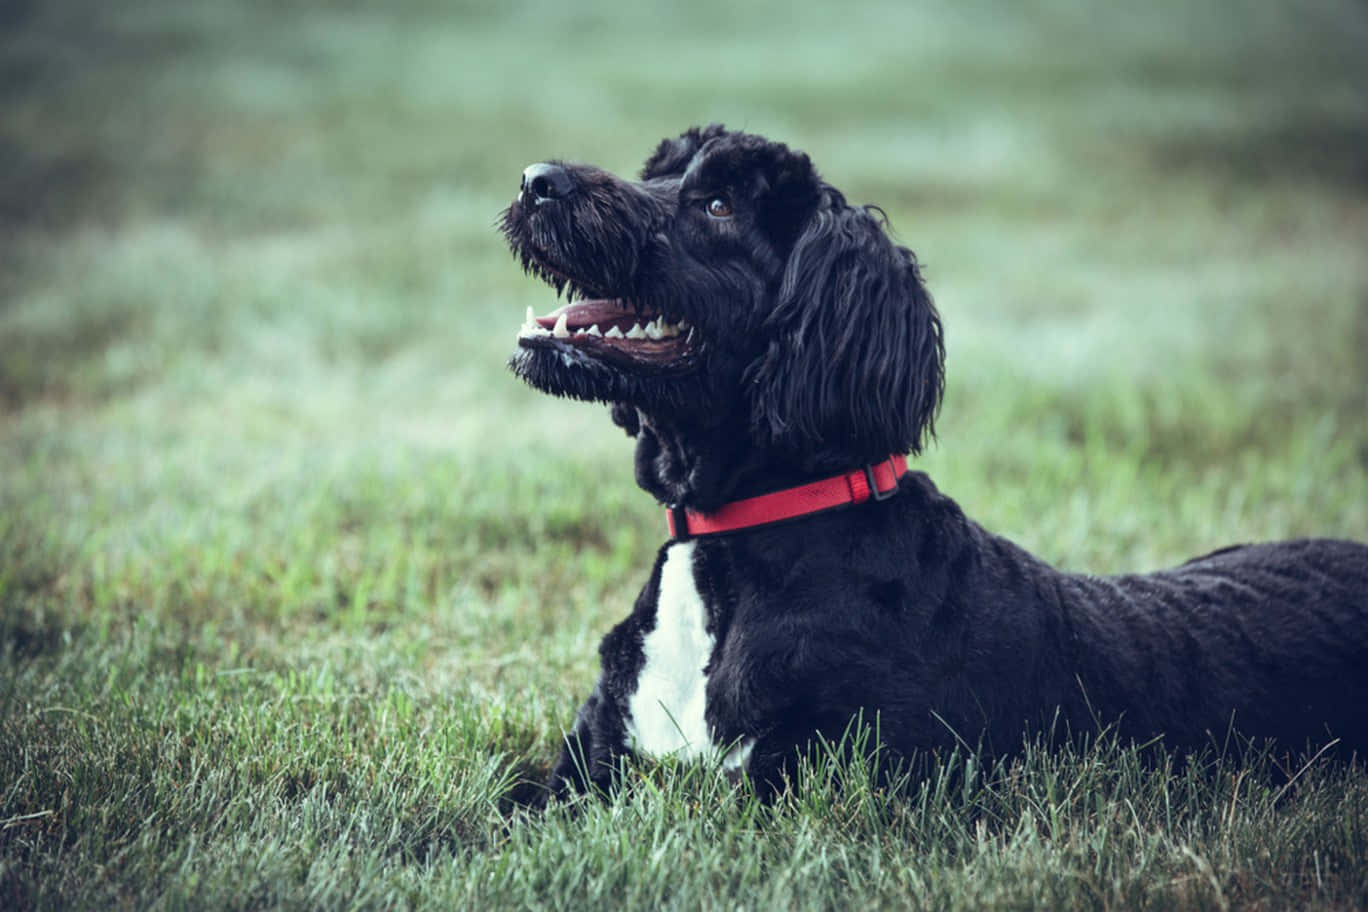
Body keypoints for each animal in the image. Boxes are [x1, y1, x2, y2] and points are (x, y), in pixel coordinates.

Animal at [500, 126, 1368, 798]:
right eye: (657, 169)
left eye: (718, 206)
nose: (538, 180)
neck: (736, 542)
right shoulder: (582, 771)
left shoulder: (813, 779)